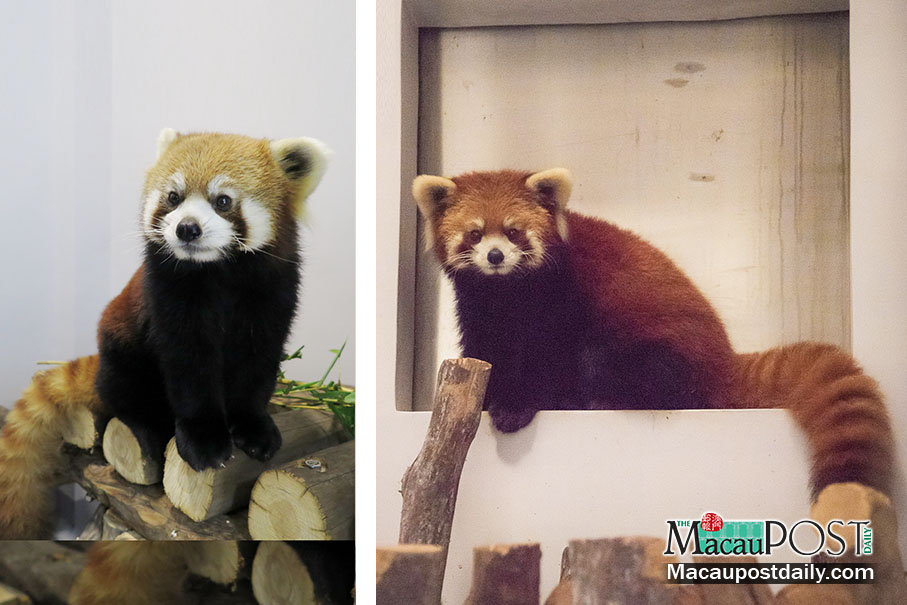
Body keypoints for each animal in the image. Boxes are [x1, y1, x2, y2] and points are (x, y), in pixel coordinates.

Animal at [0, 129, 326, 536]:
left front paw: (254, 428)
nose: (187, 227)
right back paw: (151, 428)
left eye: (223, 201)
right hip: (121, 348)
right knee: (123, 393)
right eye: (174, 197)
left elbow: (257, 364)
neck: (219, 272)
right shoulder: (169, 296)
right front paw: (204, 441)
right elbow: (188, 369)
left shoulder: (273, 294)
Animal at [414, 166, 892, 496]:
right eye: (474, 234)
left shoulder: (562, 302)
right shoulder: (478, 307)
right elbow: (486, 349)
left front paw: (516, 406)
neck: (507, 291)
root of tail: (723, 358)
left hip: (658, 357)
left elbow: (547, 360)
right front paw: (486, 399)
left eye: (514, 232)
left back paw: (594, 400)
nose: (495, 256)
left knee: (614, 369)